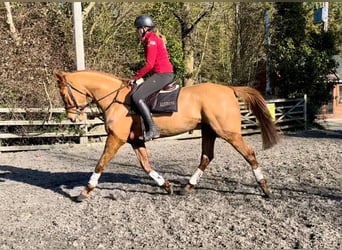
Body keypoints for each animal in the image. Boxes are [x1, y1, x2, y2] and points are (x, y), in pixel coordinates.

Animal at [54, 70, 280, 201]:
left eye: (64, 94)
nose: (72, 118)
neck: (115, 99)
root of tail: (229, 89)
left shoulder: (116, 139)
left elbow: (100, 163)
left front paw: (85, 191)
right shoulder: (135, 141)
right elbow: (146, 166)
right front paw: (166, 185)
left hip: (228, 132)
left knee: (249, 154)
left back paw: (266, 189)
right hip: (209, 131)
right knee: (206, 157)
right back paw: (187, 187)